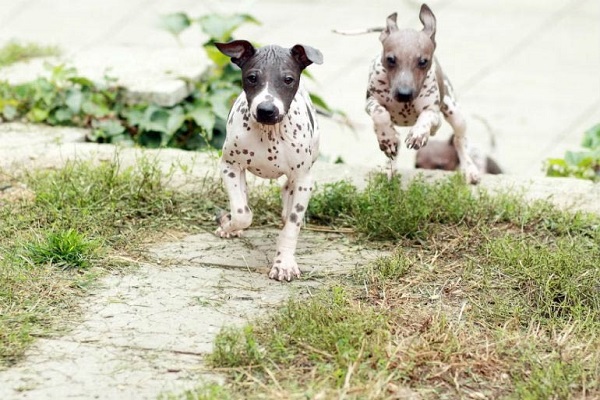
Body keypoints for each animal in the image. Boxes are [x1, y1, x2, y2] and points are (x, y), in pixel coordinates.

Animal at [214, 39, 324, 280]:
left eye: (288, 79)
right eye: (252, 77)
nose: (266, 110)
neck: (268, 131)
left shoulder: (304, 179)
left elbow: (292, 226)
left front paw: (284, 264)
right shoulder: (229, 166)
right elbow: (242, 212)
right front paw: (228, 225)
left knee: (287, 193)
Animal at [364, 4, 480, 184]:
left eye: (423, 62)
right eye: (391, 59)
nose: (404, 94)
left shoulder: (432, 110)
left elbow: (426, 117)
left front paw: (418, 134)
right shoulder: (371, 101)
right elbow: (380, 113)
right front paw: (387, 138)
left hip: (455, 112)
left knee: (459, 140)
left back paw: (469, 169)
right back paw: (389, 161)